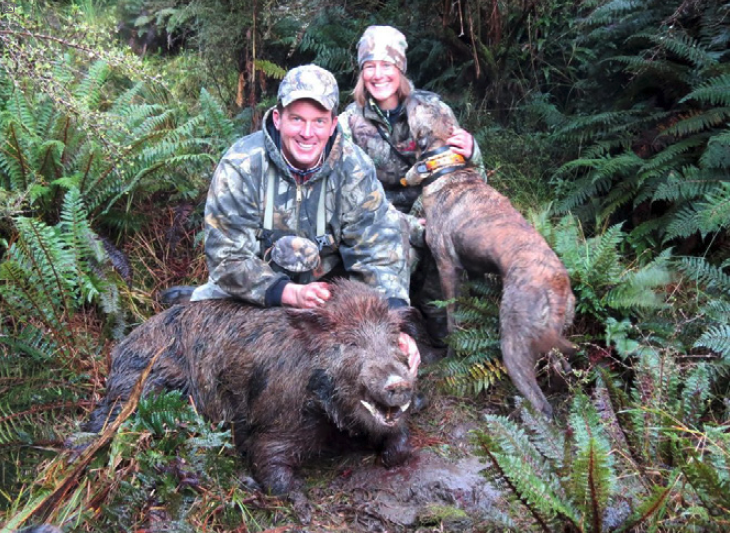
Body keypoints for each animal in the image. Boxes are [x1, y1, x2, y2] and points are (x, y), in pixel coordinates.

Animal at [83, 278, 416, 519]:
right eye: (351, 343)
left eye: (393, 339)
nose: (400, 382)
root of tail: (120, 347)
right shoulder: (276, 420)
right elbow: (268, 461)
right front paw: (302, 505)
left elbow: (400, 439)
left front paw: (388, 458)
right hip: (147, 384)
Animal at [401, 99, 575, 418]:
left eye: (421, 105)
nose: (413, 93)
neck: (446, 167)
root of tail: (558, 287)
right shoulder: (475, 270)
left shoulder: (448, 267)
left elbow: (453, 318)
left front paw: (451, 355)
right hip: (552, 340)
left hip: (514, 343)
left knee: (541, 405)